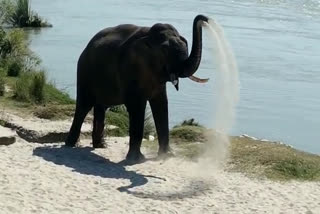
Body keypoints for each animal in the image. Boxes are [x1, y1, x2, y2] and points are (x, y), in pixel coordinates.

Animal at [65, 14, 210, 162]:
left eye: (185, 45)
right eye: (165, 51)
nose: (205, 18)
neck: (148, 37)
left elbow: (161, 104)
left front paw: (167, 156)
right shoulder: (129, 69)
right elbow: (137, 107)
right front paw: (136, 159)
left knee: (101, 107)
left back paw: (100, 146)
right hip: (84, 72)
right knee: (84, 106)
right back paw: (71, 144)